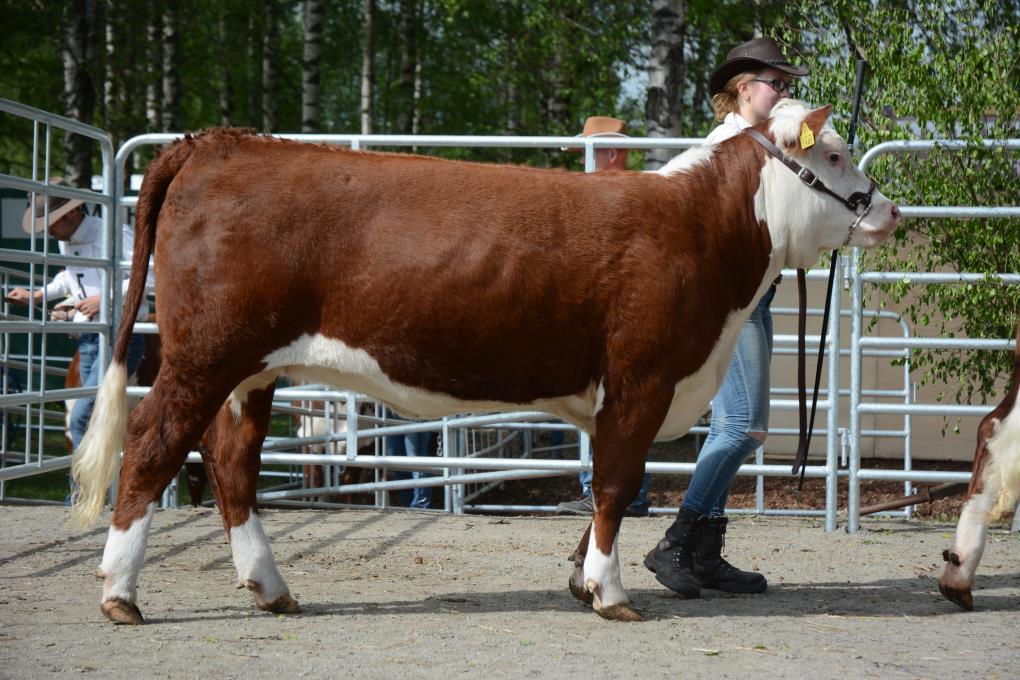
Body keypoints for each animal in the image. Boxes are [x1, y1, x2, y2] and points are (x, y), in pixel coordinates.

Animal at [73, 98, 901, 623]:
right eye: (833, 154)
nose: (889, 210)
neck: (702, 229)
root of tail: (224, 141)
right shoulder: (642, 379)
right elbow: (616, 484)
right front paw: (610, 593)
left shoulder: (617, 395)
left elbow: (605, 486)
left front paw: (582, 578)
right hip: (202, 354)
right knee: (151, 446)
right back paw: (120, 593)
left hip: (252, 369)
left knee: (231, 462)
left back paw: (271, 587)